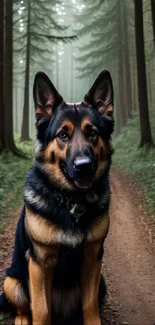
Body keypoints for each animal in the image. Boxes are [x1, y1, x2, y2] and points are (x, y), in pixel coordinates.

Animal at [1, 70, 114, 324]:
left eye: (92, 133)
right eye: (63, 134)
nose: (84, 166)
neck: (72, 203)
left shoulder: (93, 258)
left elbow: (89, 305)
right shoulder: (39, 263)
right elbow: (41, 310)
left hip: (101, 282)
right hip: (11, 281)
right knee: (24, 306)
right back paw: (22, 319)